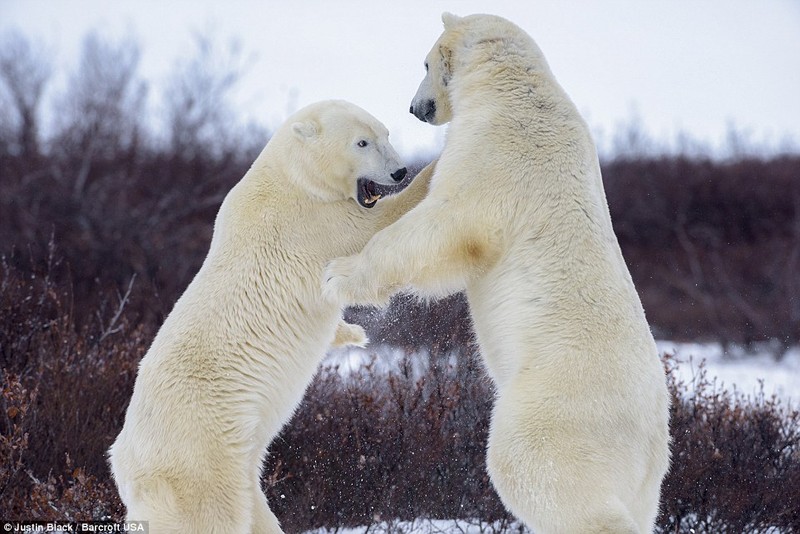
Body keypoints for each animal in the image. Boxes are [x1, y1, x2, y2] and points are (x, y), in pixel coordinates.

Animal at [108, 101, 432, 534]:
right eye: (362, 142)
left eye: (386, 134)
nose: (399, 171)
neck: (289, 176)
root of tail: (126, 471)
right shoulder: (311, 221)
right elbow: (373, 226)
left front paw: (353, 333)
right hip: (200, 458)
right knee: (213, 517)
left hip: (238, 469)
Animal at [324, 12, 668, 534]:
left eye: (424, 63)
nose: (416, 108)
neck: (511, 88)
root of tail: (651, 437)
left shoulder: (501, 151)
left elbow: (447, 224)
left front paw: (337, 275)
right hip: (647, 478)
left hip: (559, 410)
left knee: (534, 470)